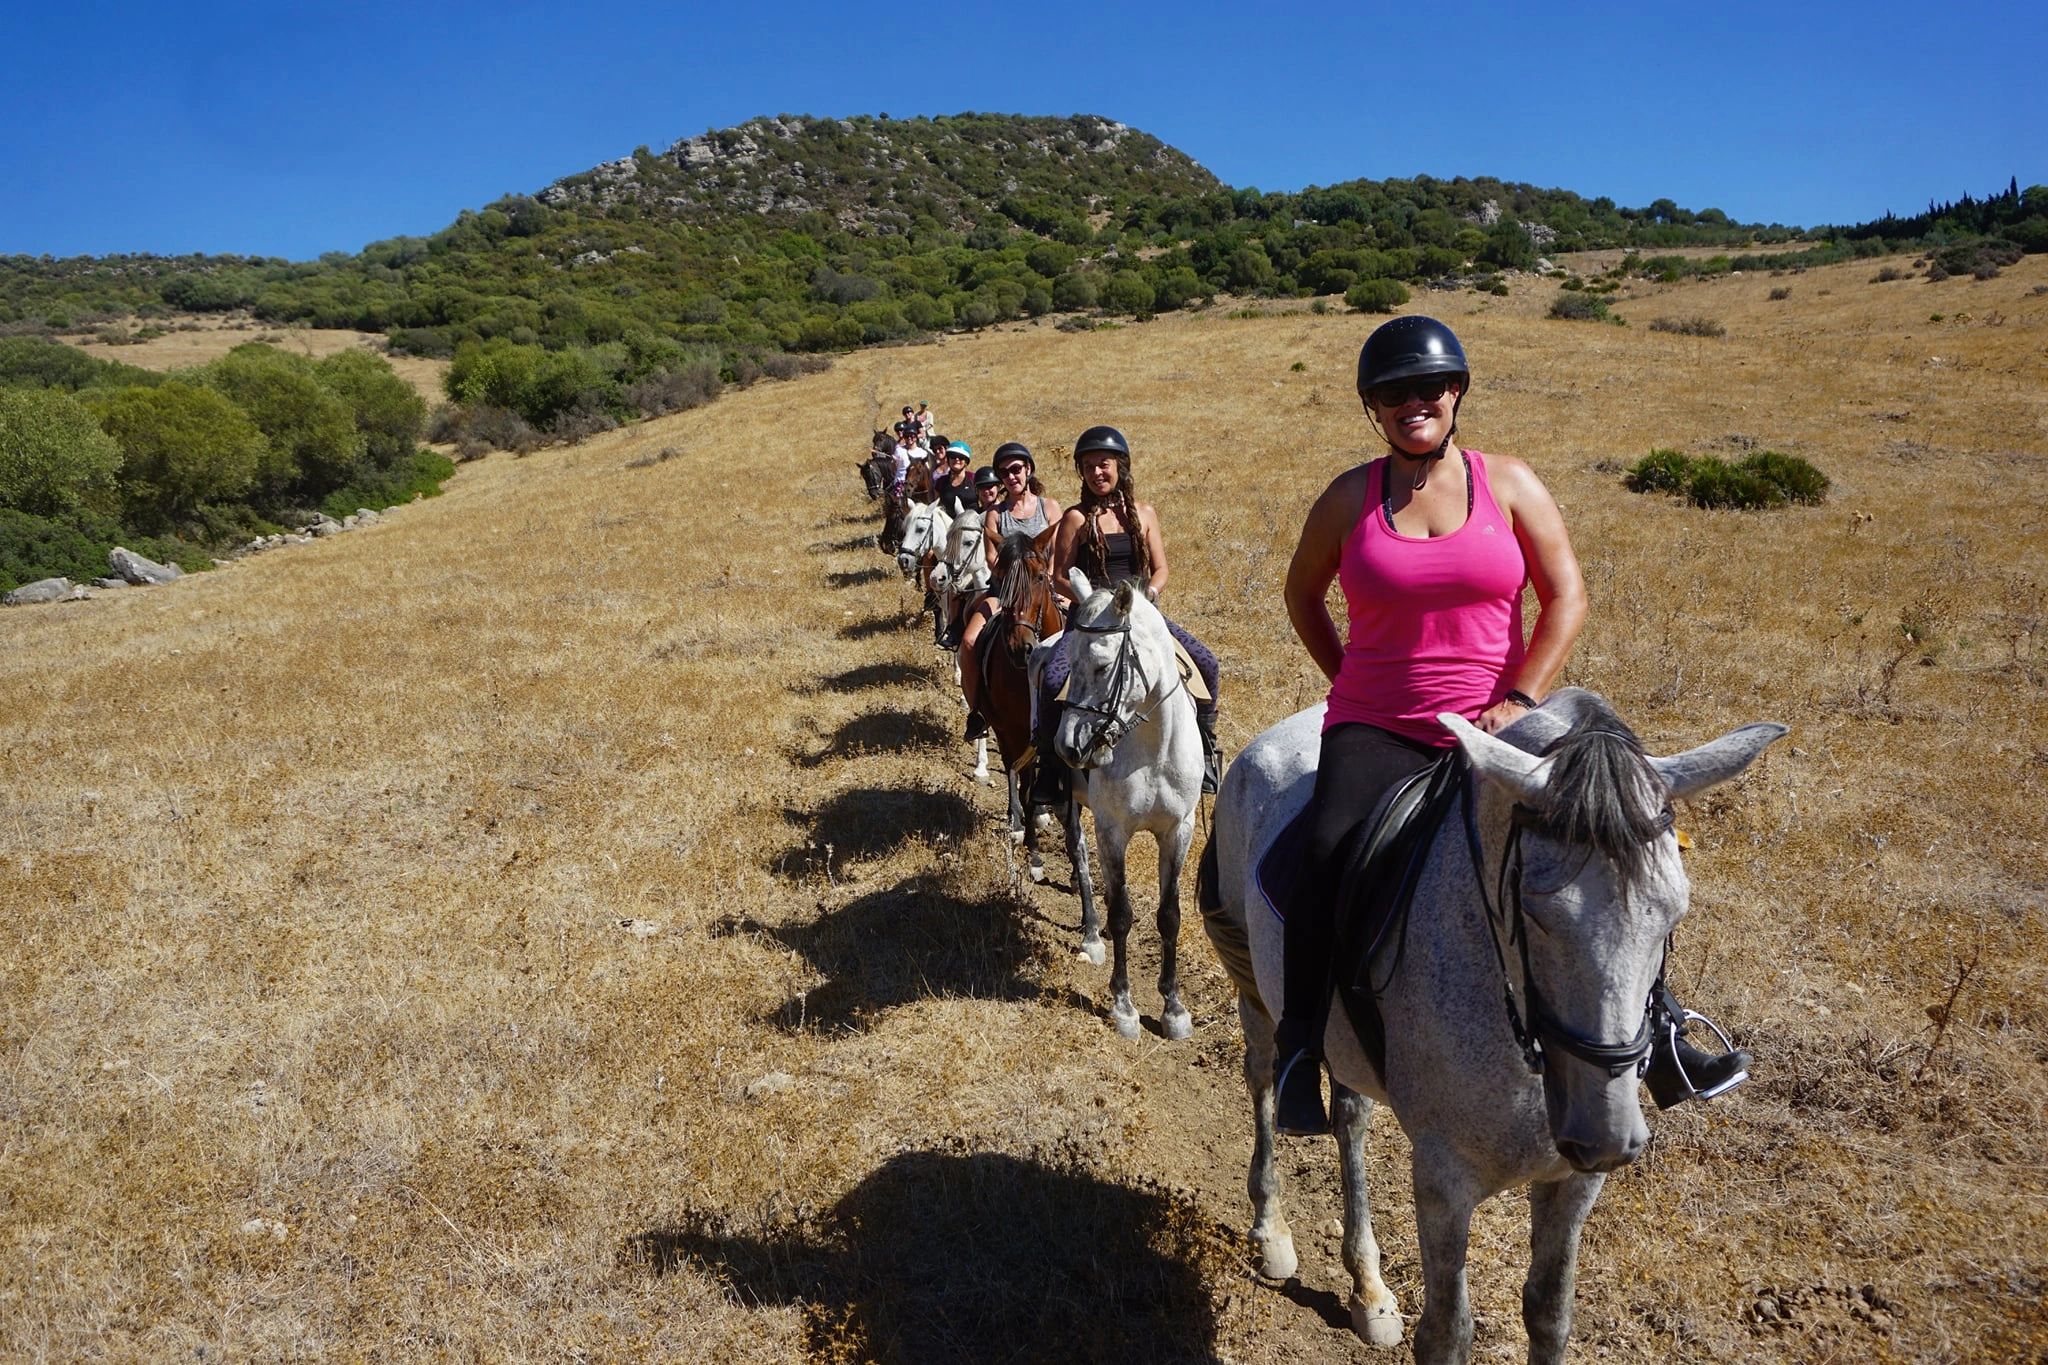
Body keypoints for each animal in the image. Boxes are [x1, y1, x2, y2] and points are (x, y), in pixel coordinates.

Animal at [1048, 573, 1204, 1039]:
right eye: (1070, 661)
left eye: (1102, 666)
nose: (1067, 746)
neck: (1153, 749)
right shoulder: (1112, 831)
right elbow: (1120, 912)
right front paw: (1124, 1006)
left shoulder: (1178, 830)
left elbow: (1169, 915)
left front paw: (1174, 1007)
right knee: (1078, 854)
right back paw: (1090, 933)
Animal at [1204, 687, 1785, 1358]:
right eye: (1534, 912)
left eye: (1674, 914)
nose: (1605, 1135)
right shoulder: (1443, 1181)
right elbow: (1448, 1333)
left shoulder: (1573, 1184)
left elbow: (1550, 1313)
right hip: (1257, 993)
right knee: (1263, 1082)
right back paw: (1271, 1230)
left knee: (1349, 1119)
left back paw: (1368, 1288)